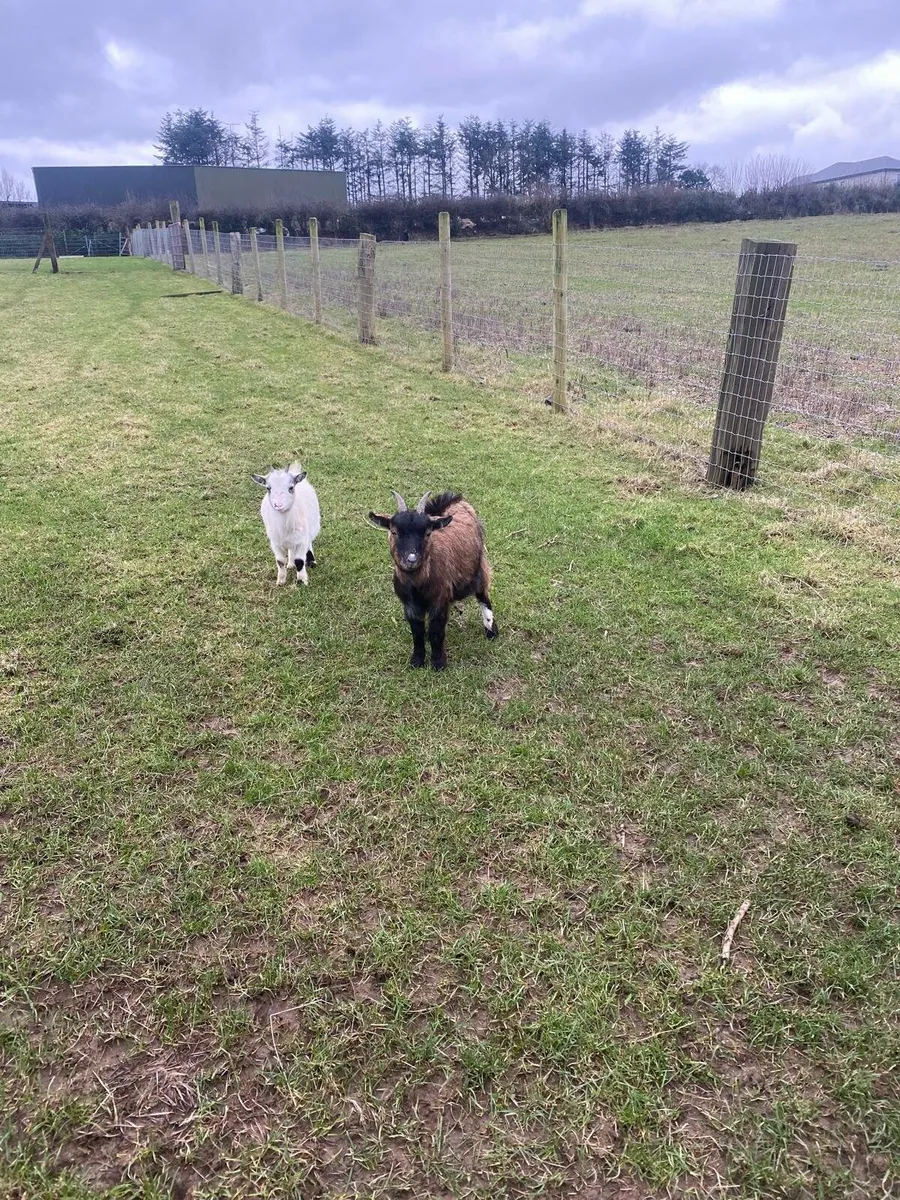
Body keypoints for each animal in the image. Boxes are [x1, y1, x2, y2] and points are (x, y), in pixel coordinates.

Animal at [368, 490, 498, 670]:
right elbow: (417, 632)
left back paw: (491, 630)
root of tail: (453, 498)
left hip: (478, 568)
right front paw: (416, 661)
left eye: (427, 533)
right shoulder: (409, 605)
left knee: (483, 596)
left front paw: (438, 663)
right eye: (394, 532)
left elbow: (436, 631)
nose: (411, 559)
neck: (416, 586)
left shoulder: (440, 600)